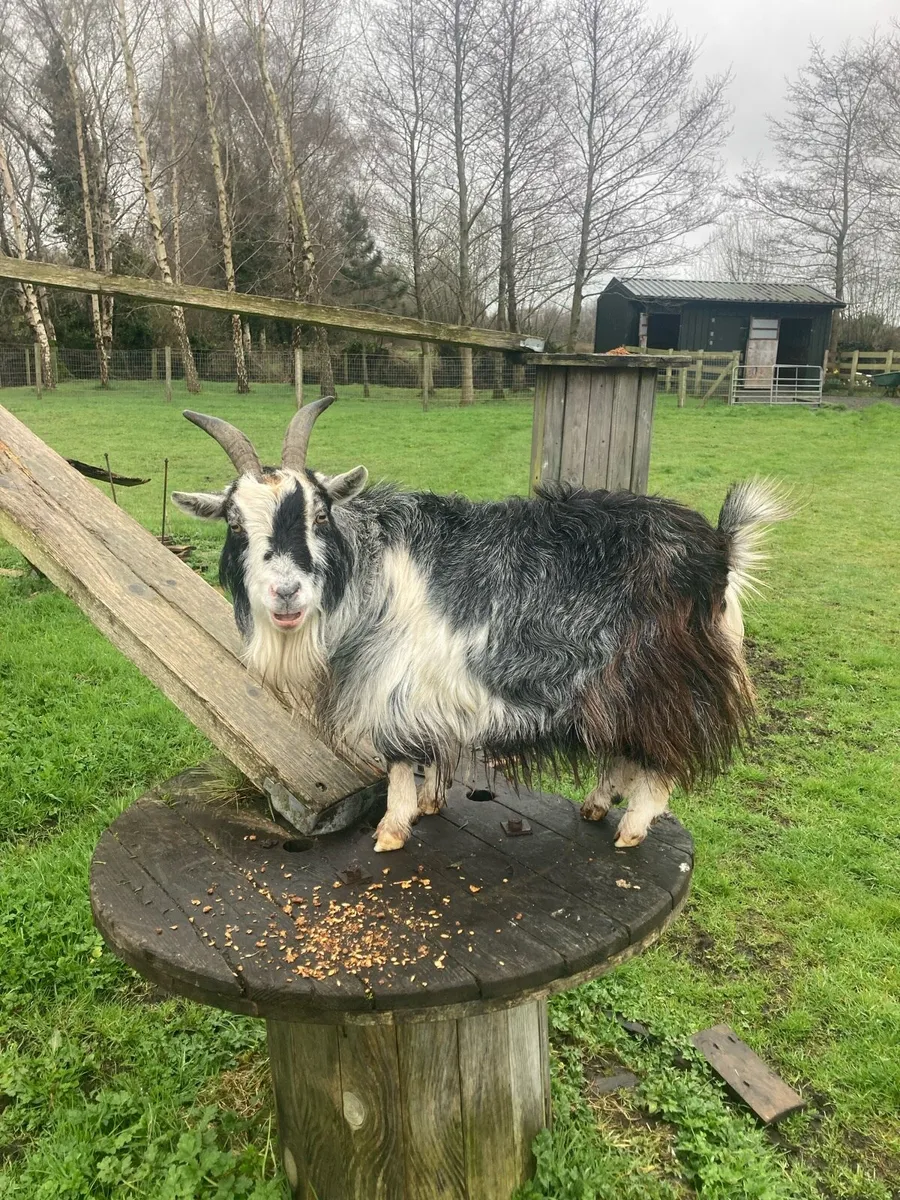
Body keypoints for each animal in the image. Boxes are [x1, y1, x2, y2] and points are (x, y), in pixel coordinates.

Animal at [173, 398, 787, 852]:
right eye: (234, 523)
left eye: (318, 515)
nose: (285, 593)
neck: (369, 568)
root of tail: (721, 549)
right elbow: (432, 750)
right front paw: (430, 802)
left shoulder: (395, 681)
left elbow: (399, 757)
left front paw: (392, 829)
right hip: (611, 684)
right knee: (624, 747)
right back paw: (595, 806)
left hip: (660, 678)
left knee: (658, 758)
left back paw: (631, 831)